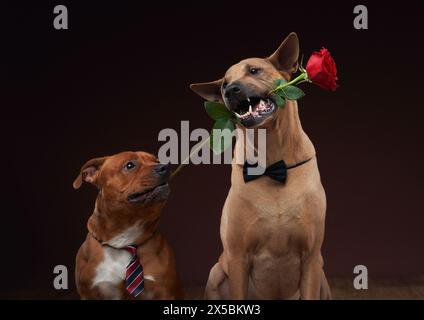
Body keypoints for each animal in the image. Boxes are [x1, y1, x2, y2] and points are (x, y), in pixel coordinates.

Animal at [73, 151, 182, 298]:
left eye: (157, 161)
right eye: (130, 165)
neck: (124, 241)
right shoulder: (89, 293)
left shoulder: (165, 292)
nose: (164, 167)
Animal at [190, 32, 332, 300]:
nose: (231, 90)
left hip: (322, 277)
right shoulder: (237, 258)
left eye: (254, 70)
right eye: (223, 84)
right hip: (216, 272)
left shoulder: (311, 257)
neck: (272, 163)